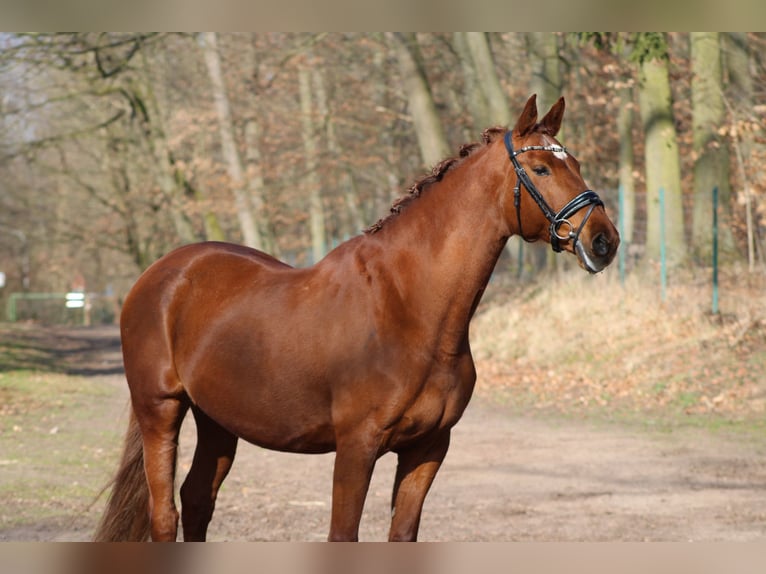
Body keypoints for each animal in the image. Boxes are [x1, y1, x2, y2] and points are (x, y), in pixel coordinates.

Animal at [96, 95, 620, 544]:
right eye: (540, 167)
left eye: (575, 164)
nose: (603, 241)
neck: (408, 308)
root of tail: (161, 274)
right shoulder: (356, 448)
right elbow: (342, 534)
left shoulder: (429, 448)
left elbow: (402, 534)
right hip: (160, 409)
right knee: (165, 513)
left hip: (218, 421)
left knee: (197, 500)